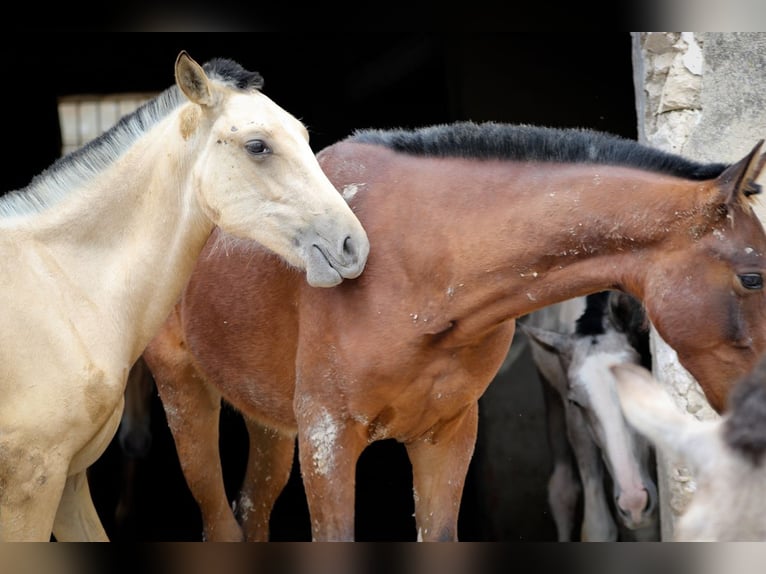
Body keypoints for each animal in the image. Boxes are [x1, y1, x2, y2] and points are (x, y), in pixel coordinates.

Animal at [0, 50, 368, 544]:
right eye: (257, 146)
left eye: (305, 137)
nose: (353, 244)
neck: (59, 288)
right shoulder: (30, 490)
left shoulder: (69, 483)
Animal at [520, 294, 660, 544]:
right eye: (576, 402)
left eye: (641, 386)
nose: (634, 503)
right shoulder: (576, 421)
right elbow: (598, 528)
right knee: (562, 490)